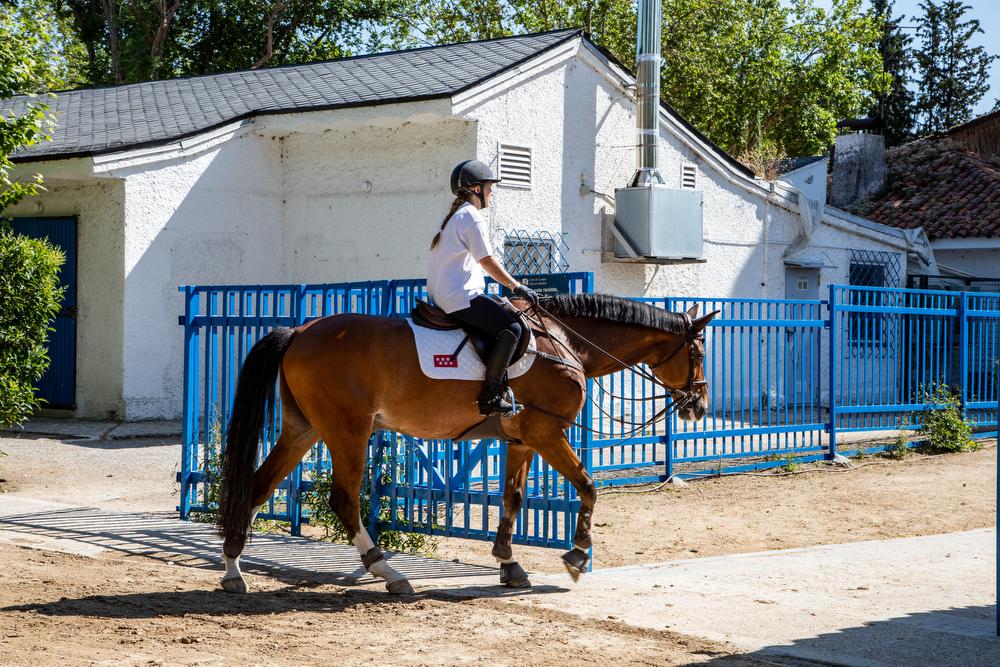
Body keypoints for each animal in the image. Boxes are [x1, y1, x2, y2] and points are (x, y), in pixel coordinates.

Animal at [219, 294, 720, 592]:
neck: (562, 343)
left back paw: (233, 568)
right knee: (343, 498)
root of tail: (300, 332)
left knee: (258, 486)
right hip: (348, 432)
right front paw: (577, 554)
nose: (698, 405)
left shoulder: (522, 440)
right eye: (698, 352)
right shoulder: (547, 433)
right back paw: (389, 572)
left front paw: (508, 563)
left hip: (304, 429)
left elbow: (513, 497)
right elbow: (587, 486)